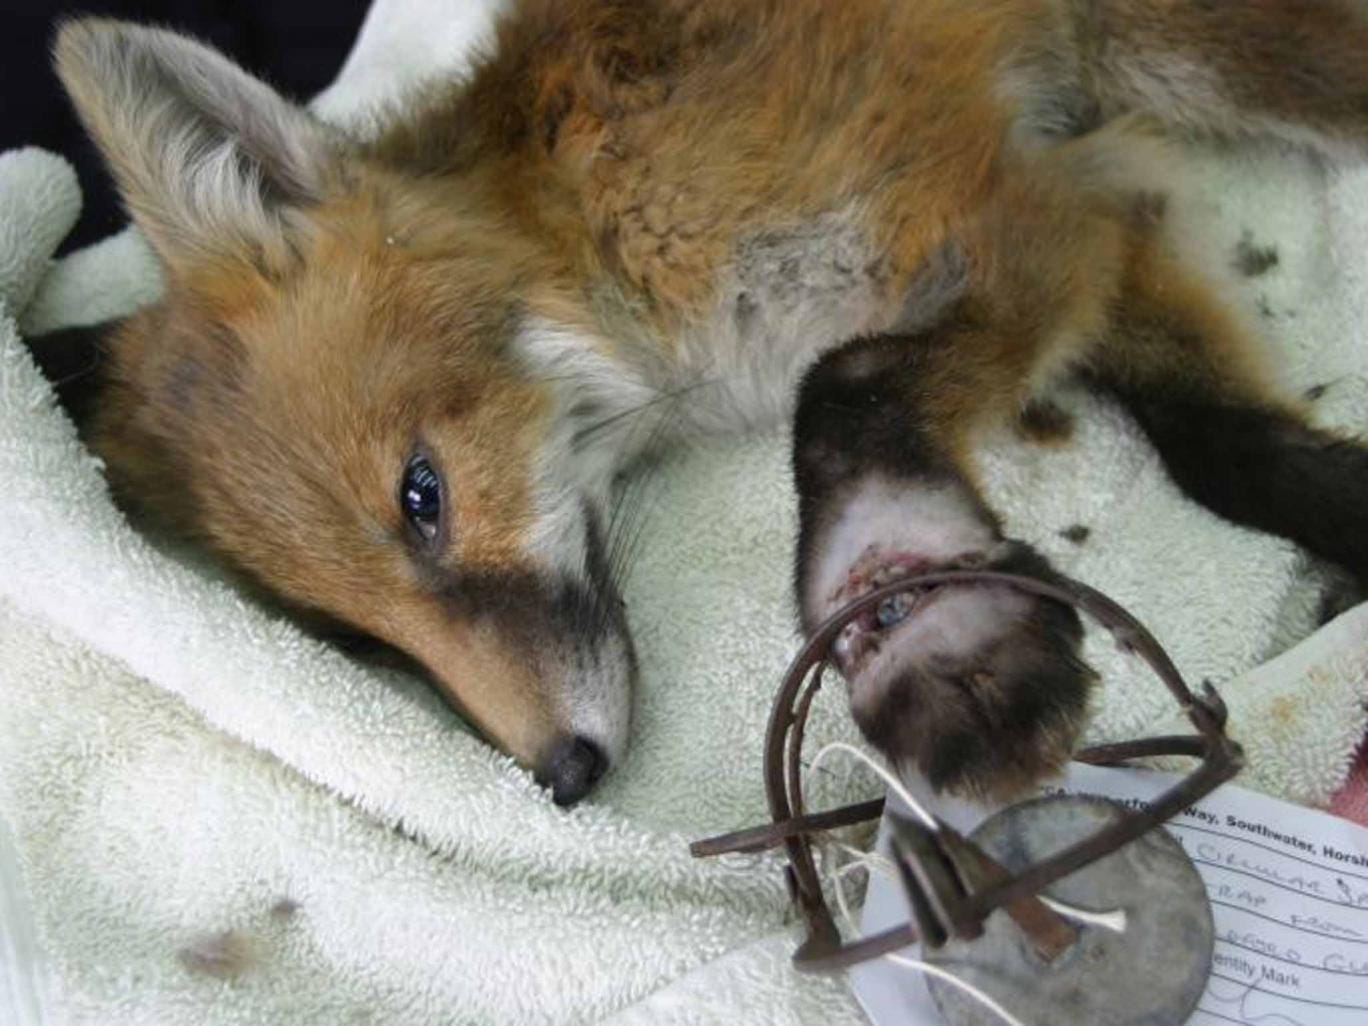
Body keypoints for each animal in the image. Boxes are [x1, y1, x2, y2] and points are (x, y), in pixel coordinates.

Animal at [42, 0, 1368, 806]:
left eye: (423, 498)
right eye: (355, 640)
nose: (563, 777)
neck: (607, 231)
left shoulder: (1008, 216)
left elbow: (843, 386)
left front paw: (937, 634)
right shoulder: (1089, 209)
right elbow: (1228, 447)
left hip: (1203, 53)